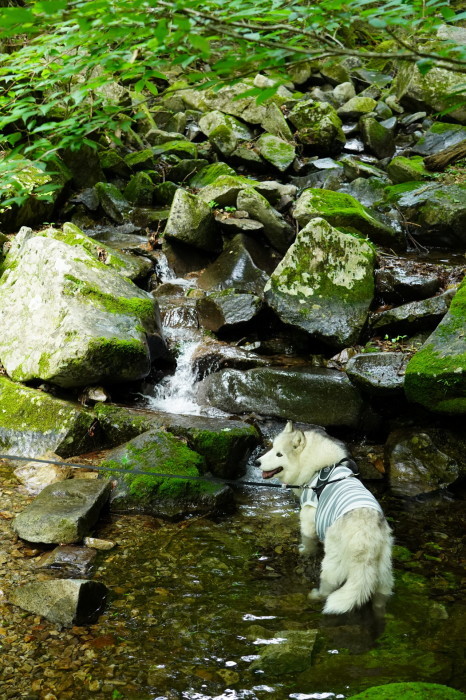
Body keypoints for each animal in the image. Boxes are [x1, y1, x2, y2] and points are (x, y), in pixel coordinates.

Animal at [258, 422, 394, 612]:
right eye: (272, 448)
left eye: (279, 454)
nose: (256, 462)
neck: (319, 470)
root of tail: (367, 539)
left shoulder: (308, 518)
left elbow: (308, 542)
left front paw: (303, 550)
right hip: (384, 575)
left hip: (332, 563)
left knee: (329, 587)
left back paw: (316, 596)